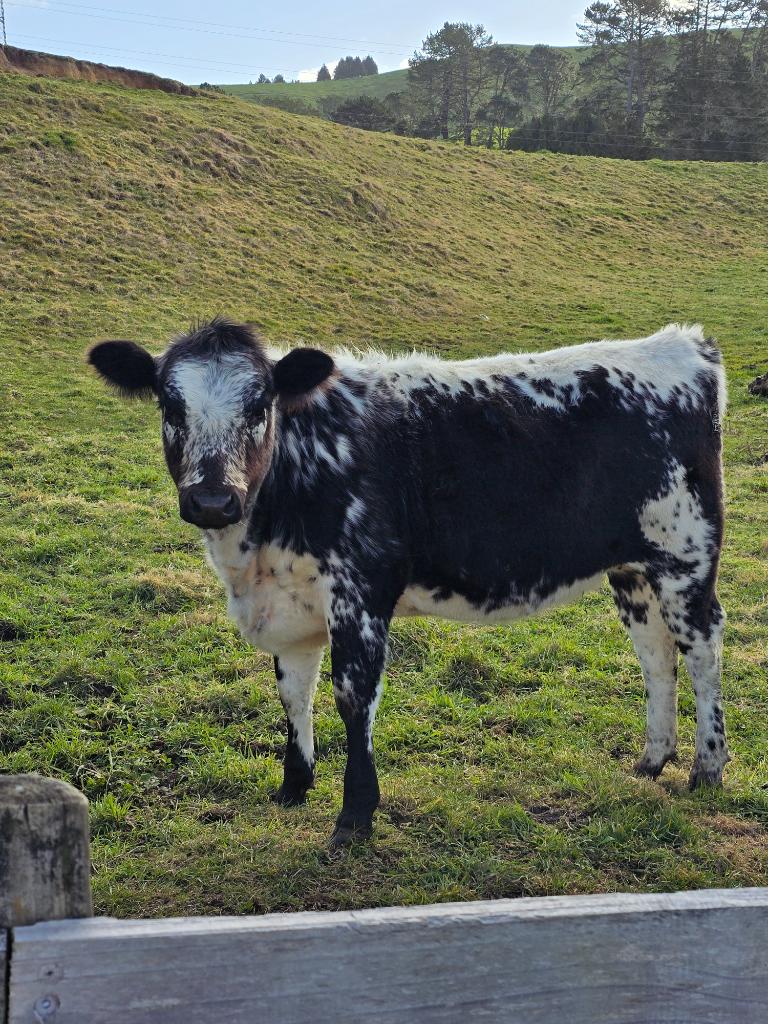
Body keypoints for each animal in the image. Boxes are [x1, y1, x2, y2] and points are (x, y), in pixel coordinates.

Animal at [88, 319, 729, 847]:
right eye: (170, 406)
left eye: (259, 405)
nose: (213, 500)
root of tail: (682, 344)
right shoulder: (291, 605)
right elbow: (294, 692)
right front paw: (294, 786)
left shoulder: (361, 592)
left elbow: (353, 697)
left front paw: (355, 815)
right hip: (633, 568)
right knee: (654, 654)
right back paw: (652, 760)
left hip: (686, 555)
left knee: (701, 649)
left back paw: (707, 767)